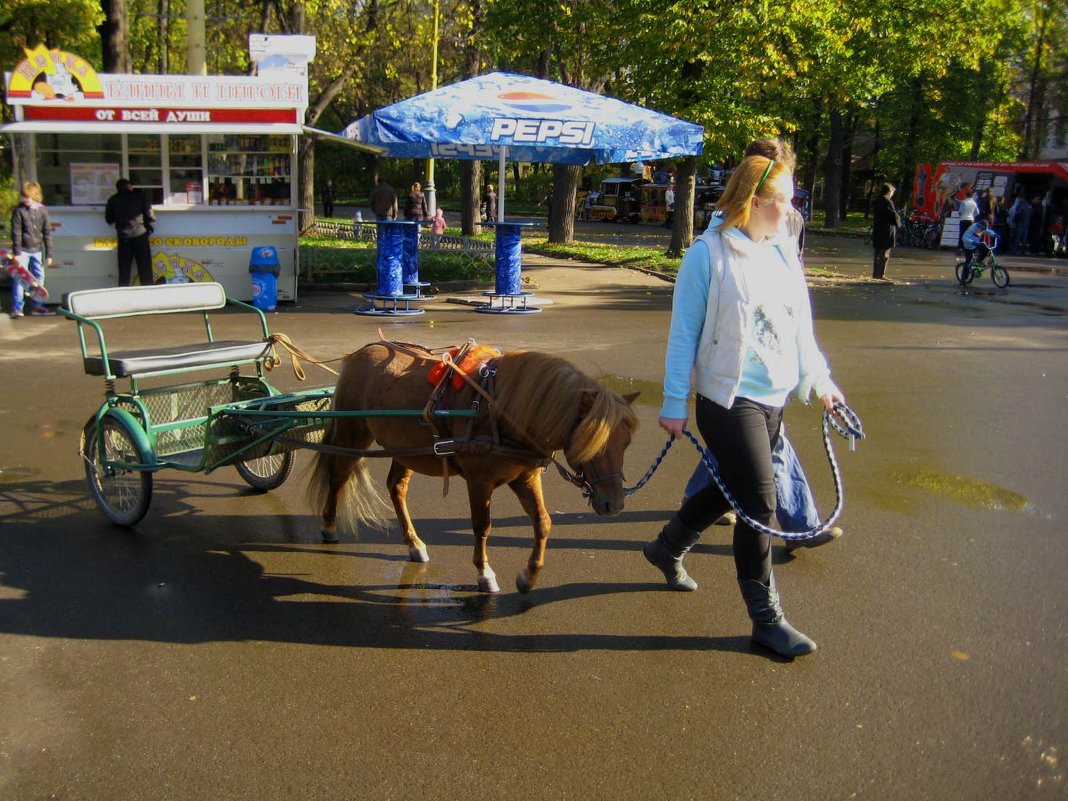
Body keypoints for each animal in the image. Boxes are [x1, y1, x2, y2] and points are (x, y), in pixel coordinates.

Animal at [309, 341, 640, 593]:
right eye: (592, 443)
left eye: (625, 443)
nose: (614, 504)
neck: (500, 410)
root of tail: (362, 351)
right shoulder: (479, 481)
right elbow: (482, 526)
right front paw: (484, 573)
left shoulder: (526, 477)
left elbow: (543, 523)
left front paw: (529, 575)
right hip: (353, 434)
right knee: (338, 475)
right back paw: (328, 526)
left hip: (405, 451)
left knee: (396, 488)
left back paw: (414, 543)